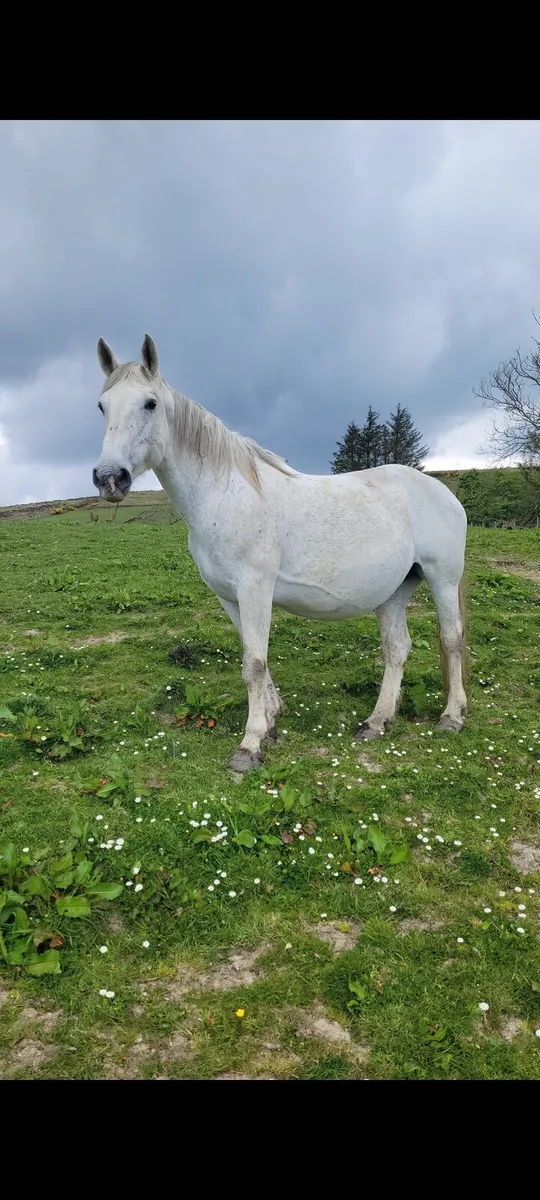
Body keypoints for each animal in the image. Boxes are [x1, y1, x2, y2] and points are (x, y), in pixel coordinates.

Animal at [93, 334, 468, 774]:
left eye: (150, 403)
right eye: (102, 406)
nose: (109, 479)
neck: (224, 495)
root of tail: (443, 492)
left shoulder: (255, 588)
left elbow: (254, 663)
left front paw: (250, 744)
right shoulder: (230, 597)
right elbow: (255, 659)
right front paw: (271, 722)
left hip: (443, 580)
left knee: (451, 639)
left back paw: (451, 716)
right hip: (393, 593)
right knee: (397, 649)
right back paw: (377, 722)